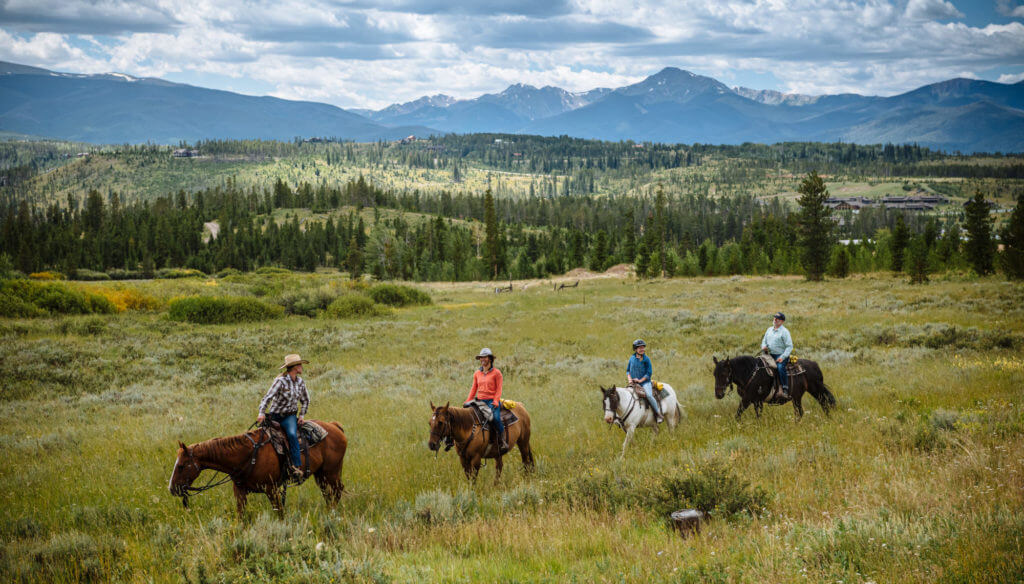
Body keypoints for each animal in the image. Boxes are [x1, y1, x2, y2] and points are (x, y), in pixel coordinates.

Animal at [165, 418, 346, 514]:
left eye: (181, 466)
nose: (172, 488)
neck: (247, 456)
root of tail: (334, 425)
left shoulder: (271, 489)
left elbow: (279, 513)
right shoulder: (240, 491)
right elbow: (241, 517)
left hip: (331, 472)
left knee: (336, 492)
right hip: (320, 475)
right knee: (328, 494)